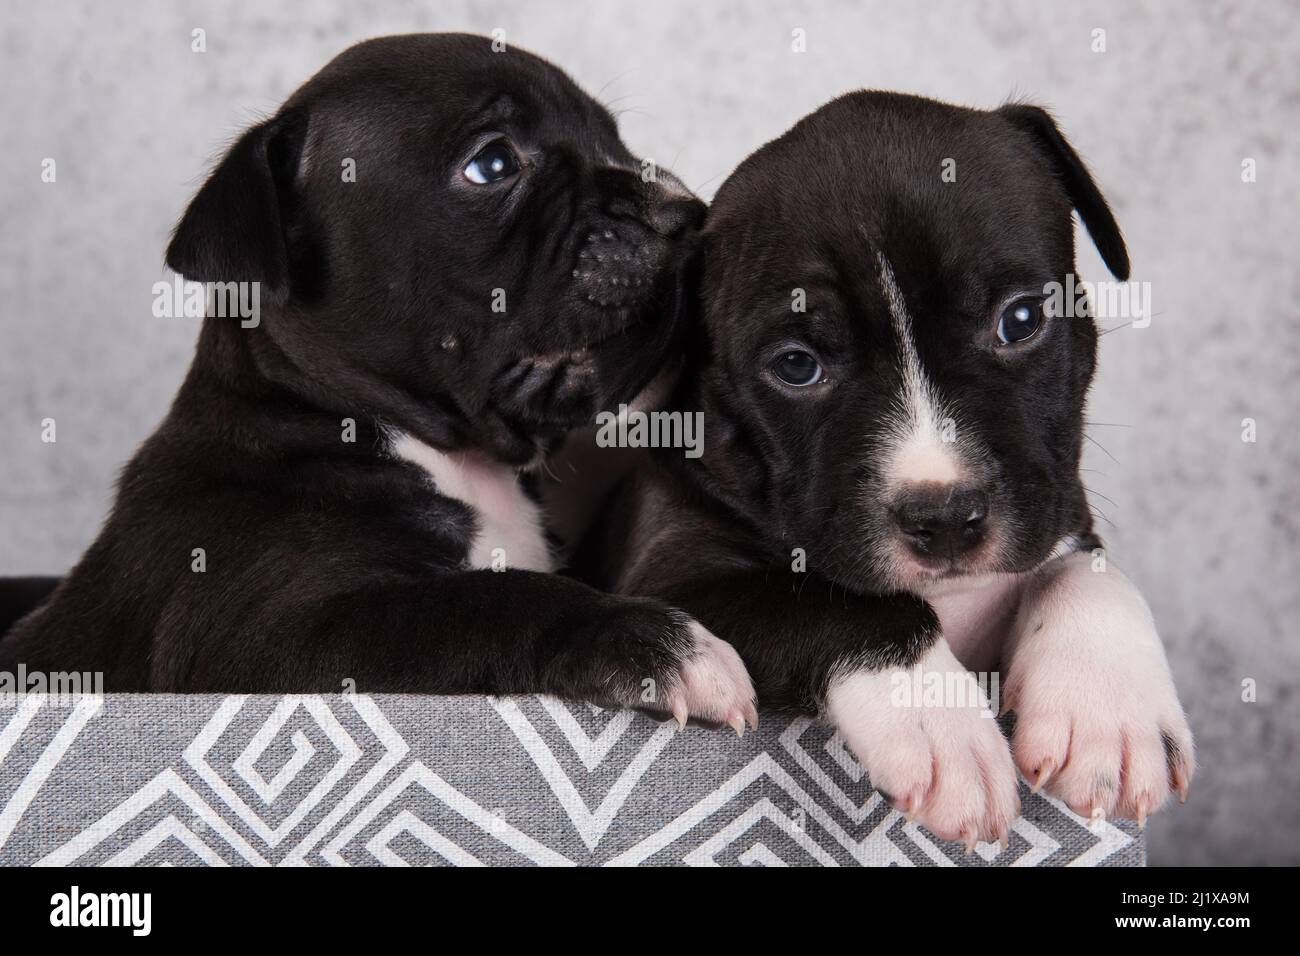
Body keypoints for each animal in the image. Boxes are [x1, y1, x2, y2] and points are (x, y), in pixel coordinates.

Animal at [585, 93, 1190, 848]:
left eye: (1022, 319)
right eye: (796, 366)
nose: (944, 516)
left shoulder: (1054, 511)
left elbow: (1088, 568)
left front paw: (1107, 703)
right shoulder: (677, 576)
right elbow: (846, 601)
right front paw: (941, 723)